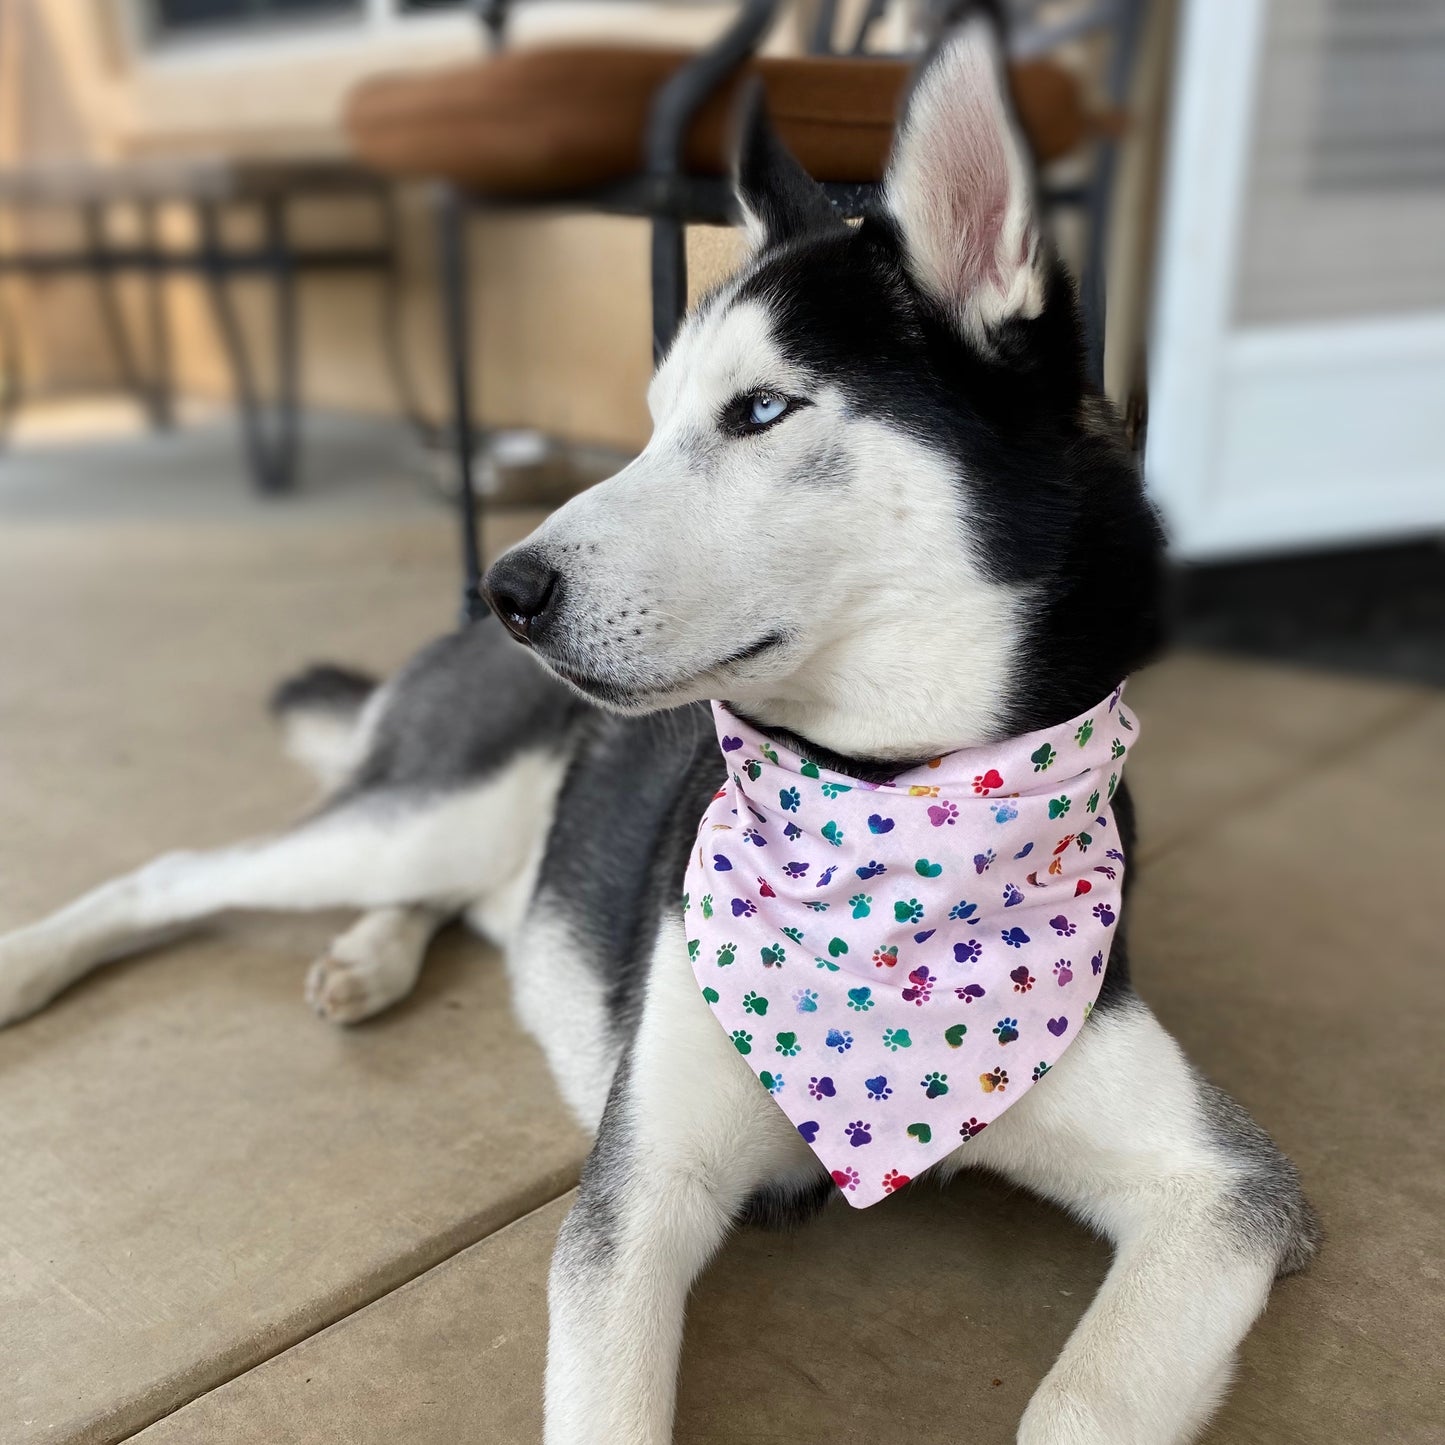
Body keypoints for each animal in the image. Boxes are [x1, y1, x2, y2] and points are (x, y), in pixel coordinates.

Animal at [0, 22, 1312, 1445]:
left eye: (759, 411)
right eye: (652, 416)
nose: (508, 588)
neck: (888, 805)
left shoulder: (1226, 1194)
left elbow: (1087, 1396)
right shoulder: (640, 1192)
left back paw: (372, 953)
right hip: (418, 809)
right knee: (184, 872)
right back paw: (40, 965)